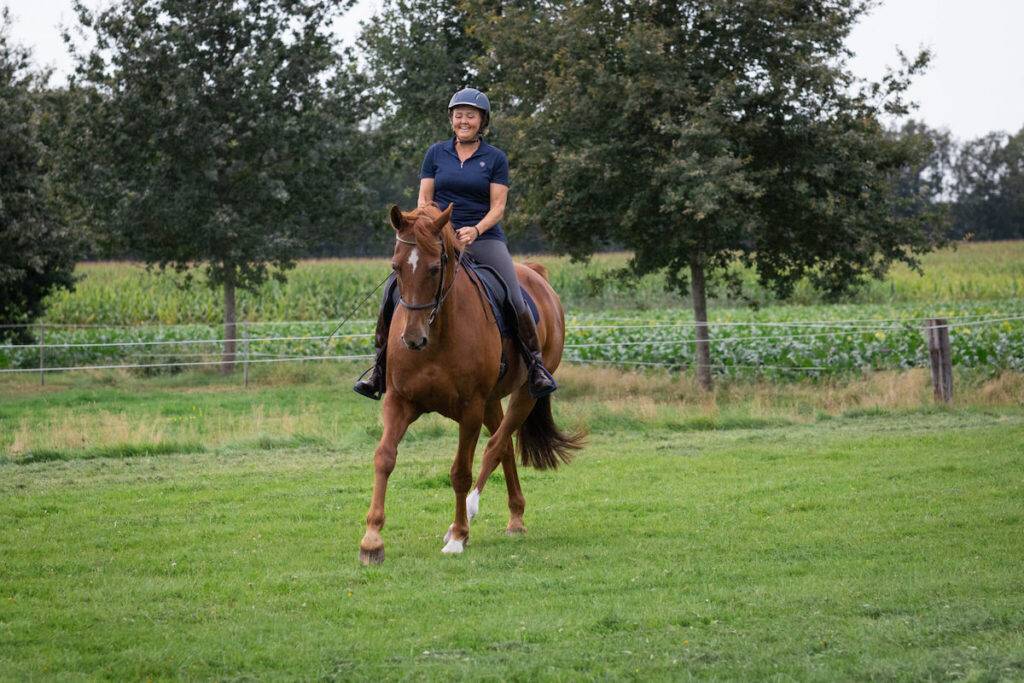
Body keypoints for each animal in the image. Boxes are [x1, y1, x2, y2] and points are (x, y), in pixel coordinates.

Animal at [358, 202, 585, 565]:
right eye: (396, 267)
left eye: (435, 268)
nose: (412, 339)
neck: (438, 335)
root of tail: (537, 274)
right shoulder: (399, 401)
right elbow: (384, 457)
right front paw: (372, 541)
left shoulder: (469, 411)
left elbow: (460, 471)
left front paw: (459, 536)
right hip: (492, 401)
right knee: (504, 447)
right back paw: (515, 518)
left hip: (523, 395)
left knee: (495, 446)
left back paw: (469, 513)